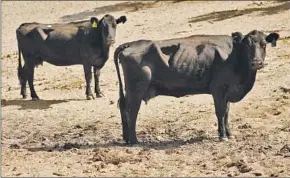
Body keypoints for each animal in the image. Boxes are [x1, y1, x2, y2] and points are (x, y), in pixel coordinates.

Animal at [113, 29, 278, 144]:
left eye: (264, 44)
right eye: (247, 45)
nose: (257, 63)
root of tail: (131, 44)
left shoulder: (227, 91)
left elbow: (226, 112)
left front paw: (228, 133)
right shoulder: (218, 89)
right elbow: (220, 112)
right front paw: (223, 136)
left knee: (124, 108)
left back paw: (127, 139)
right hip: (136, 90)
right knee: (131, 111)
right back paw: (134, 140)